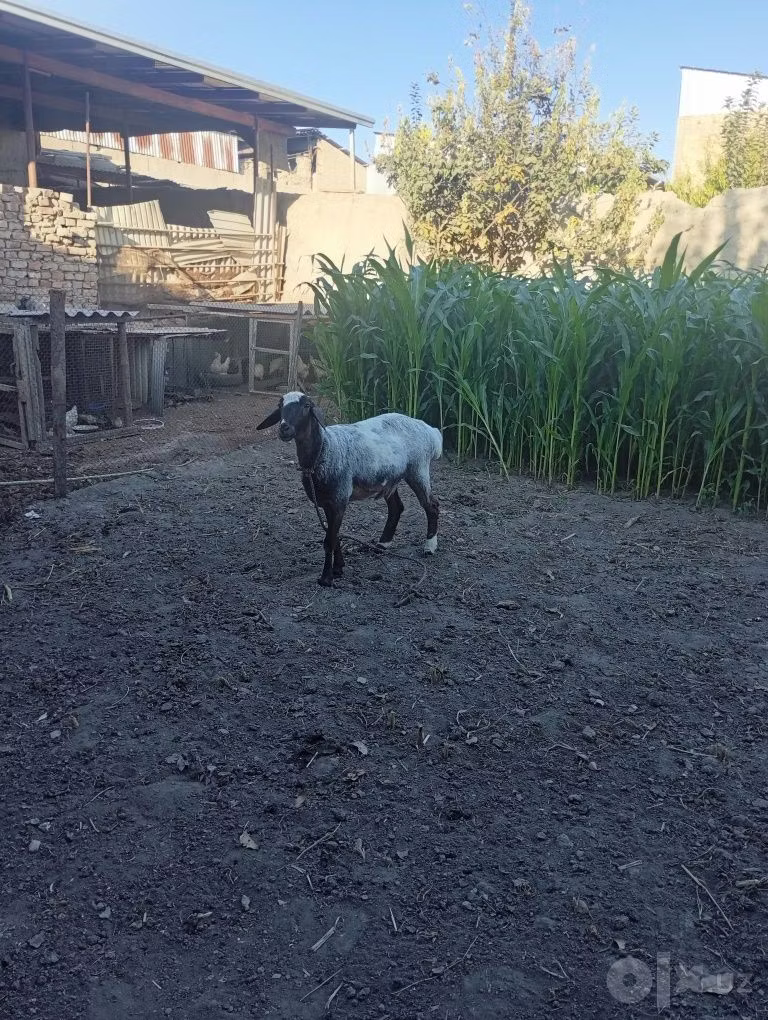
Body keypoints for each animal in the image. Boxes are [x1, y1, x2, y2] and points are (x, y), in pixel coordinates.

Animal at [256, 392, 442, 587]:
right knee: (396, 507)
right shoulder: (327, 502)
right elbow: (333, 534)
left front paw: (326, 578)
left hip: (418, 468)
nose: (284, 428)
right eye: (280, 405)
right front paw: (338, 567)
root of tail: (429, 430)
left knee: (431, 505)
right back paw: (382, 545)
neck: (324, 449)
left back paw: (429, 546)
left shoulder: (339, 499)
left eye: (307, 405)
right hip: (390, 479)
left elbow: (329, 540)